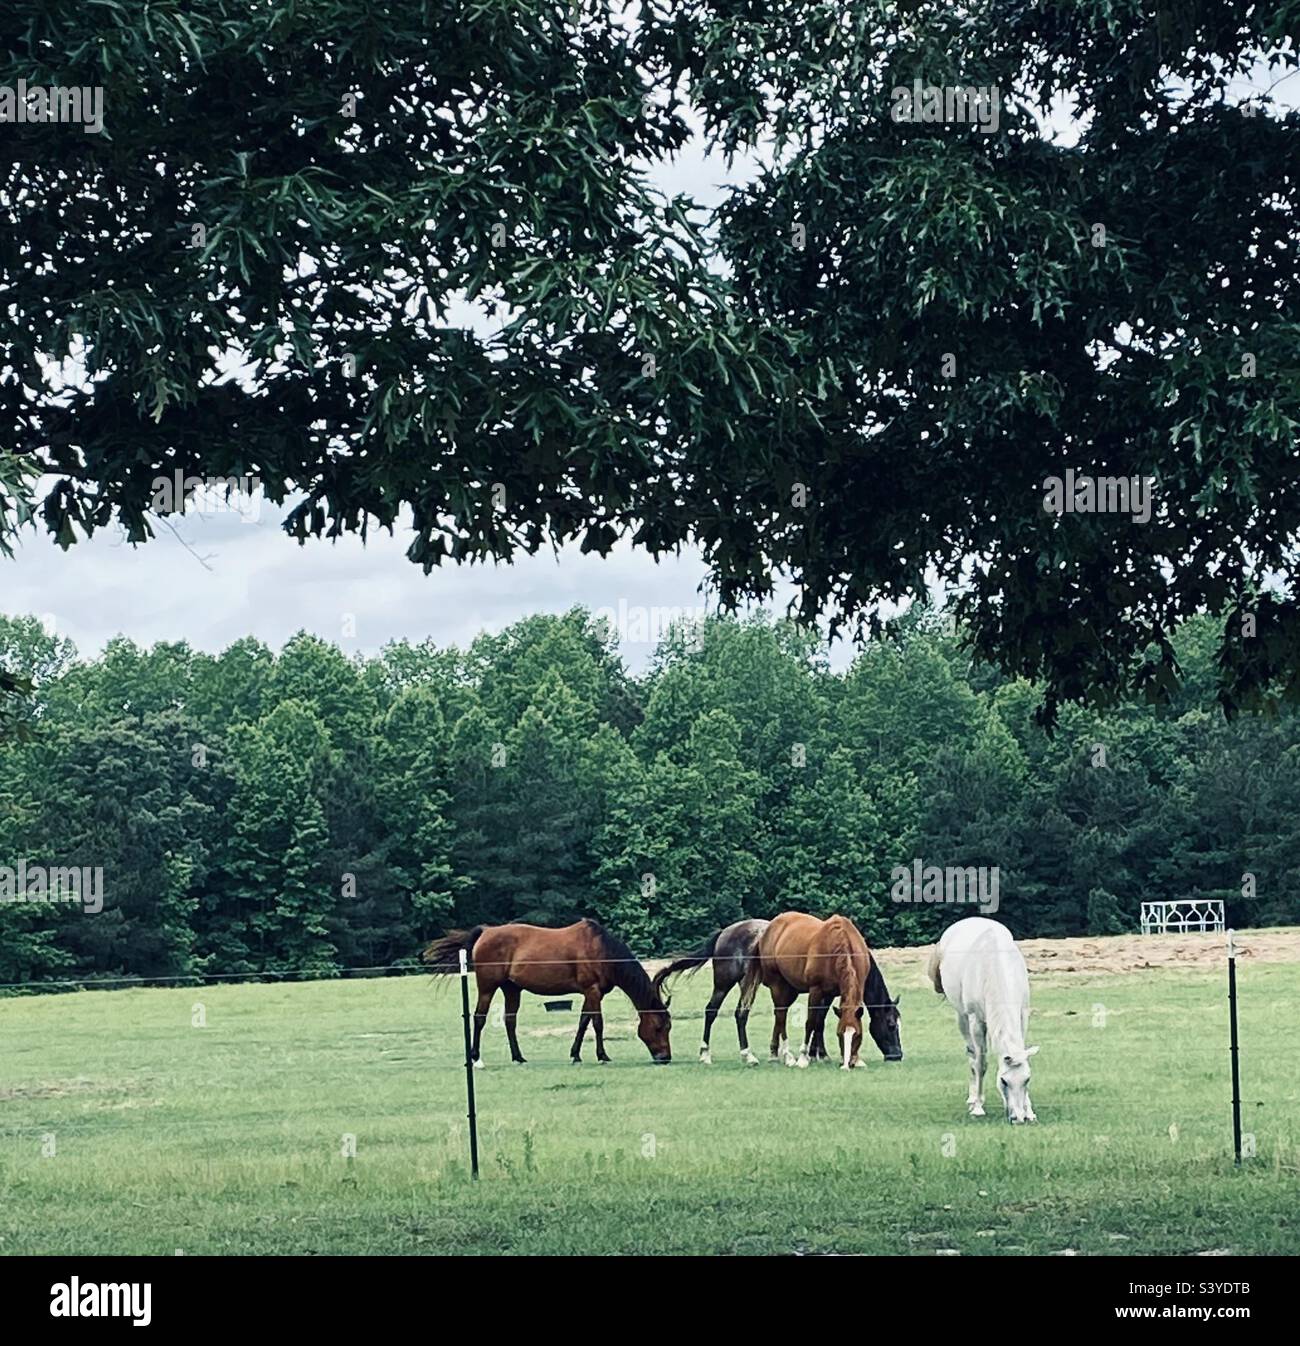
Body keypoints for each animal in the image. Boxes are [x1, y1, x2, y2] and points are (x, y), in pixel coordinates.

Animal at [425, 920, 672, 1066]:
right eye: (659, 1027)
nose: (665, 1057)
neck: (601, 950)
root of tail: (486, 931)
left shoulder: (591, 993)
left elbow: (584, 1022)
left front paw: (575, 1054)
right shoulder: (592, 990)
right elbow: (597, 1023)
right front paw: (602, 1055)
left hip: (511, 989)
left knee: (510, 1021)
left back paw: (518, 1057)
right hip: (488, 987)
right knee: (479, 1018)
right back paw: (475, 1058)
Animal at [651, 920, 775, 1066]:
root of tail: (725, 932)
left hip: (748, 985)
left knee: (740, 1014)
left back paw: (747, 1055)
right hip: (725, 984)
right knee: (713, 1011)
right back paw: (707, 1054)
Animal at [742, 915, 904, 1071]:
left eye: (858, 1034)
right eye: (891, 1025)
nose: (897, 1055)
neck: (841, 945)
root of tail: (769, 929)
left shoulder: (831, 994)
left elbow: (820, 1021)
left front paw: (822, 1055)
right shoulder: (816, 990)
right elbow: (811, 1022)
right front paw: (804, 1057)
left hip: (791, 990)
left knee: (780, 1016)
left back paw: (777, 1054)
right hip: (779, 986)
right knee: (781, 1016)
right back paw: (784, 1056)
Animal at [925, 915, 1038, 1125]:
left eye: (1027, 1079)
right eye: (1003, 1081)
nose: (1018, 1118)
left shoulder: (1022, 1015)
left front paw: (1030, 1111)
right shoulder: (975, 1021)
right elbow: (980, 1064)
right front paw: (977, 1107)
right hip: (961, 1017)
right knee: (972, 1056)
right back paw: (972, 1100)